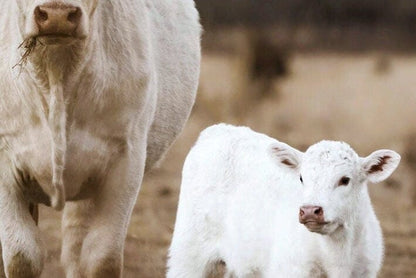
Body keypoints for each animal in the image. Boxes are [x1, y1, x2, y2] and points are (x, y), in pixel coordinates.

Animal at [167, 124, 402, 278]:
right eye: (301, 178)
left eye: (345, 180)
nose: (310, 210)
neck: (337, 255)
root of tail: (218, 130)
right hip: (187, 251)